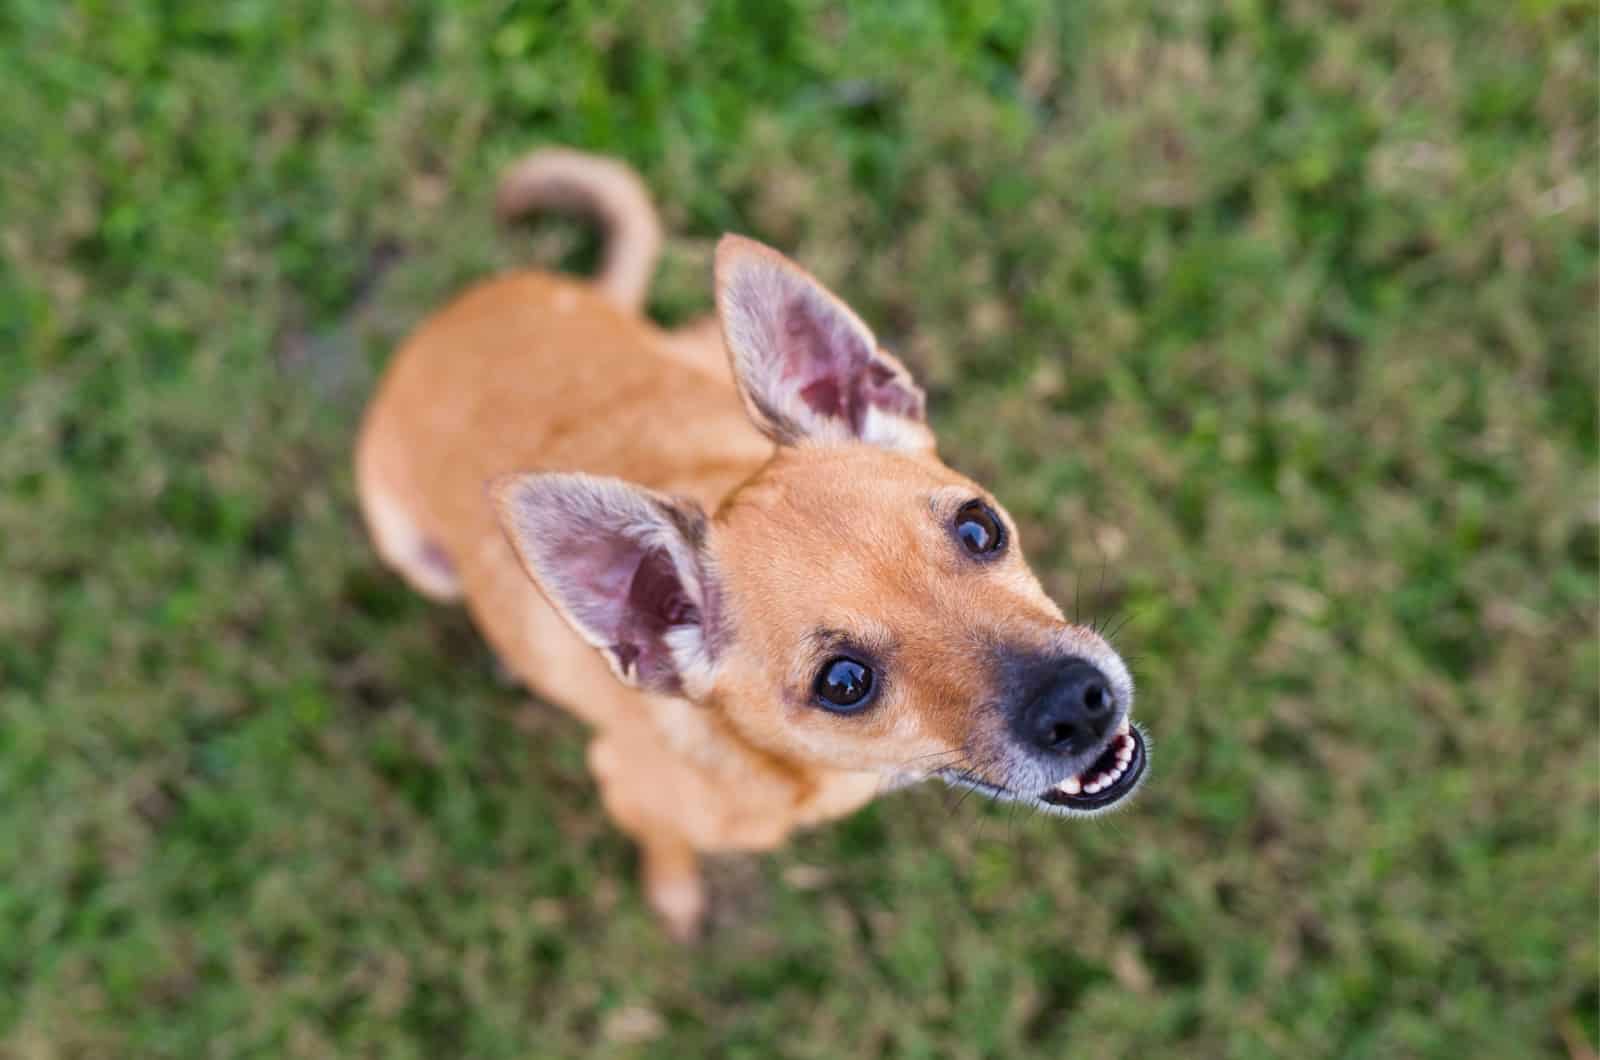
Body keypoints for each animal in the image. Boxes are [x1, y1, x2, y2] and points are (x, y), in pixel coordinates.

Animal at [356, 147, 1145, 941]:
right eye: (844, 683)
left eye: (981, 528)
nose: (1078, 703)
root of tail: (464, 307)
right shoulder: (629, 791)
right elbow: (666, 846)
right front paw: (674, 896)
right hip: (414, 554)